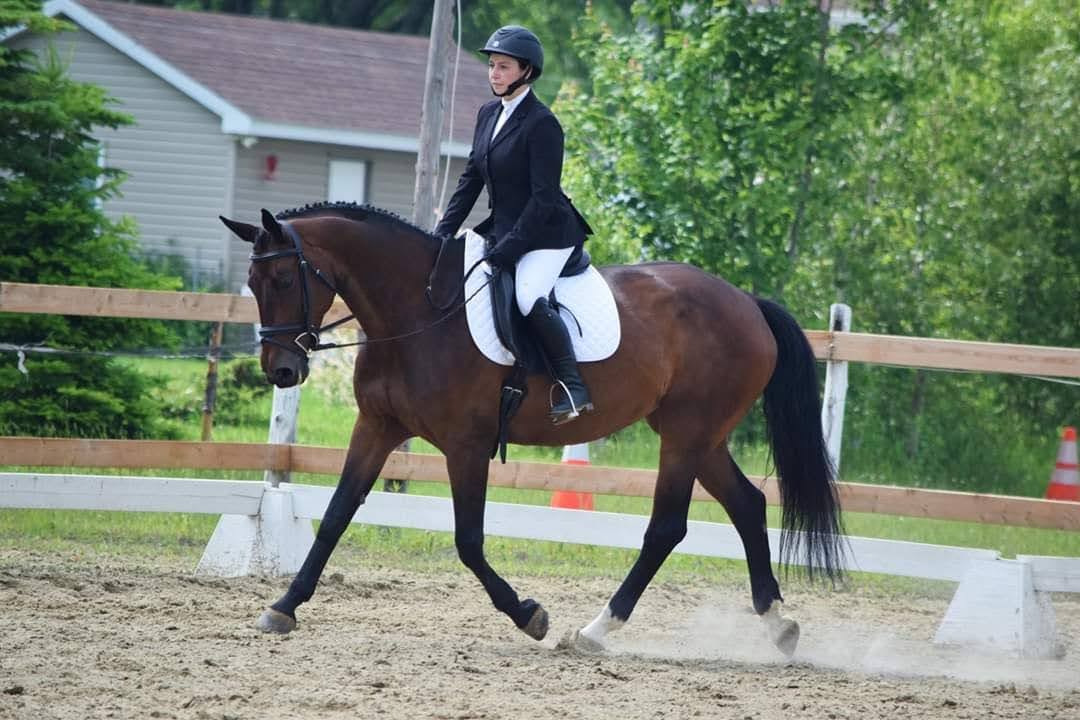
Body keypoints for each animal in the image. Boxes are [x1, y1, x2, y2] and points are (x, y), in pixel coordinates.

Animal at [219, 199, 842, 656]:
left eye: (282, 278)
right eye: (252, 281)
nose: (281, 370)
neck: (419, 312)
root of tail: (748, 303)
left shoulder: (466, 445)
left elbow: (468, 542)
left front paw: (529, 616)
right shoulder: (377, 427)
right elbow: (335, 516)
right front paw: (282, 607)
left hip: (687, 434)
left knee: (667, 527)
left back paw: (595, 631)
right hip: (699, 436)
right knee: (747, 505)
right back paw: (779, 626)